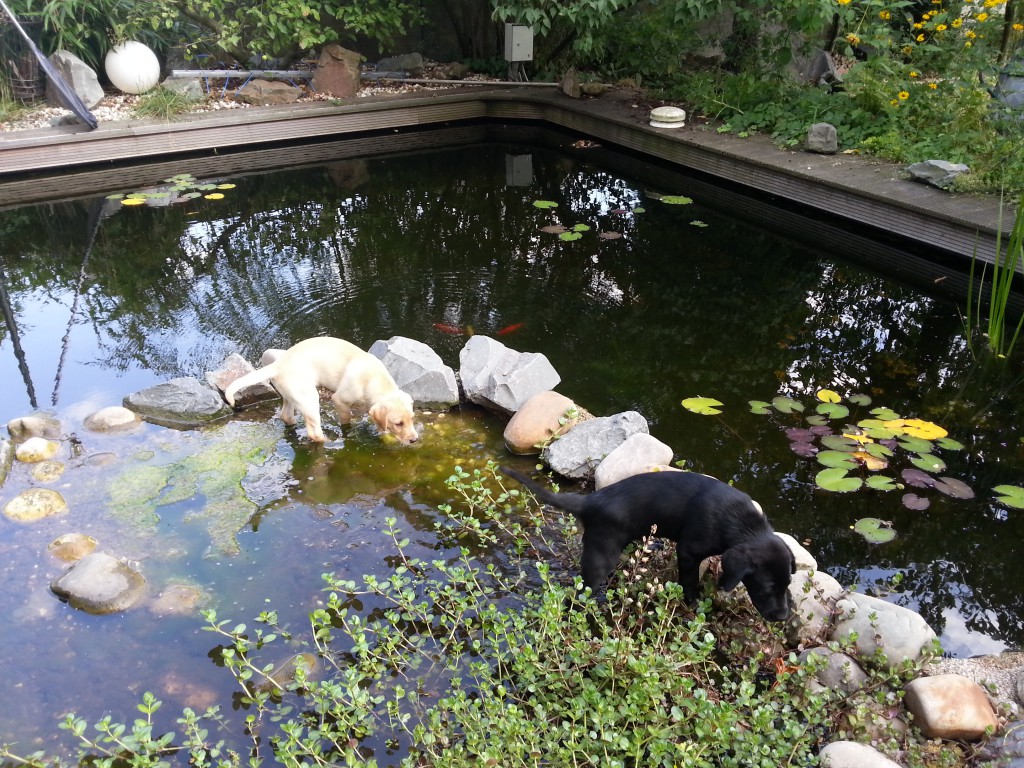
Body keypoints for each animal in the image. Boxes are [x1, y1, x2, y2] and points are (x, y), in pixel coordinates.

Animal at [223, 337, 419, 445]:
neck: (374, 379)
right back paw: (331, 441)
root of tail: (278, 364)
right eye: (398, 423)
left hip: (291, 394)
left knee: (286, 415)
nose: (415, 440)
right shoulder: (339, 400)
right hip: (309, 397)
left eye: (412, 419)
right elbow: (346, 420)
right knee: (314, 434)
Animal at [501, 467, 795, 621]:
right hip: (601, 554)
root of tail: (590, 502)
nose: (783, 617)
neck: (740, 522)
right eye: (767, 587)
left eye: (787, 586)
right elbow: (689, 582)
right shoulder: (688, 551)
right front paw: (694, 605)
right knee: (582, 588)